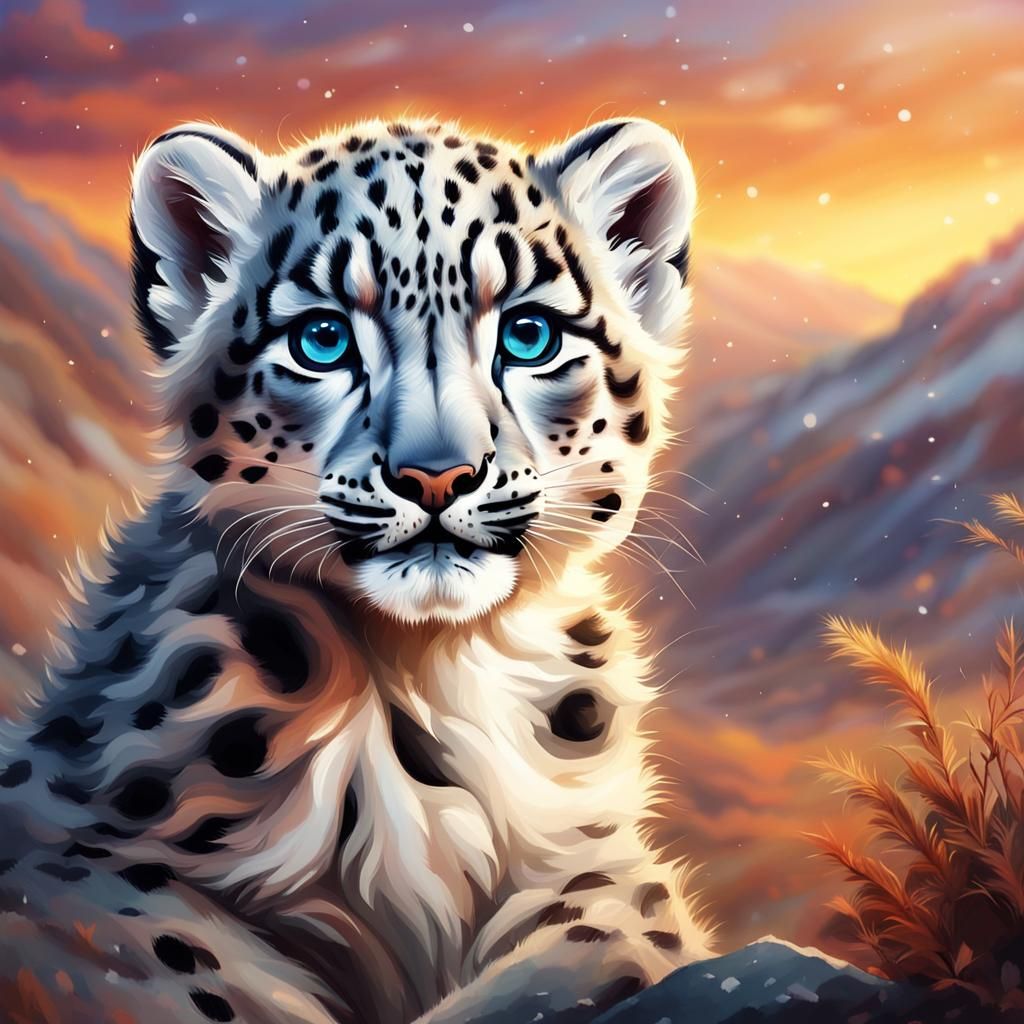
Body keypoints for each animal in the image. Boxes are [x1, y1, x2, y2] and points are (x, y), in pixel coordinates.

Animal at [0, 114, 709, 1024]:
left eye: (530, 334)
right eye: (322, 338)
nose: (437, 476)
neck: (429, 672)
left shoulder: (600, 865)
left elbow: (607, 935)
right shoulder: (70, 860)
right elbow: (173, 961)